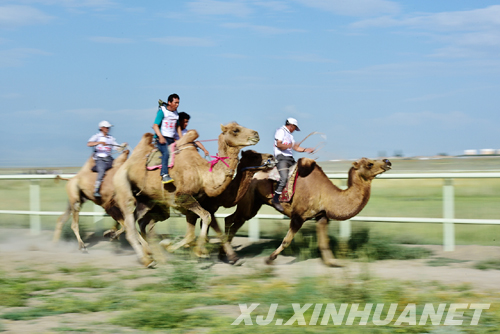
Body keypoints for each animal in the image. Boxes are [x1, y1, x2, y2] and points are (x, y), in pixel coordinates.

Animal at [113, 122, 260, 266]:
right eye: (235, 130)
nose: (256, 134)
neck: (203, 174)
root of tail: (122, 167)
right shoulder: (182, 197)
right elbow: (207, 217)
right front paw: (200, 252)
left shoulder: (190, 206)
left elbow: (191, 234)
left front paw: (170, 246)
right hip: (123, 186)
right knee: (130, 225)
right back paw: (146, 260)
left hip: (146, 200)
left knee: (137, 221)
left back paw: (151, 254)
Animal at [222, 157, 390, 266]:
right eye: (370, 163)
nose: (387, 162)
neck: (326, 195)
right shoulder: (298, 216)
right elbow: (287, 240)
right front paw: (269, 259)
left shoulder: (321, 217)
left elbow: (324, 242)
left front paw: (333, 262)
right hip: (248, 200)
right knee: (234, 219)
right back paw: (228, 254)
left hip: (254, 203)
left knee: (232, 220)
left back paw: (225, 253)